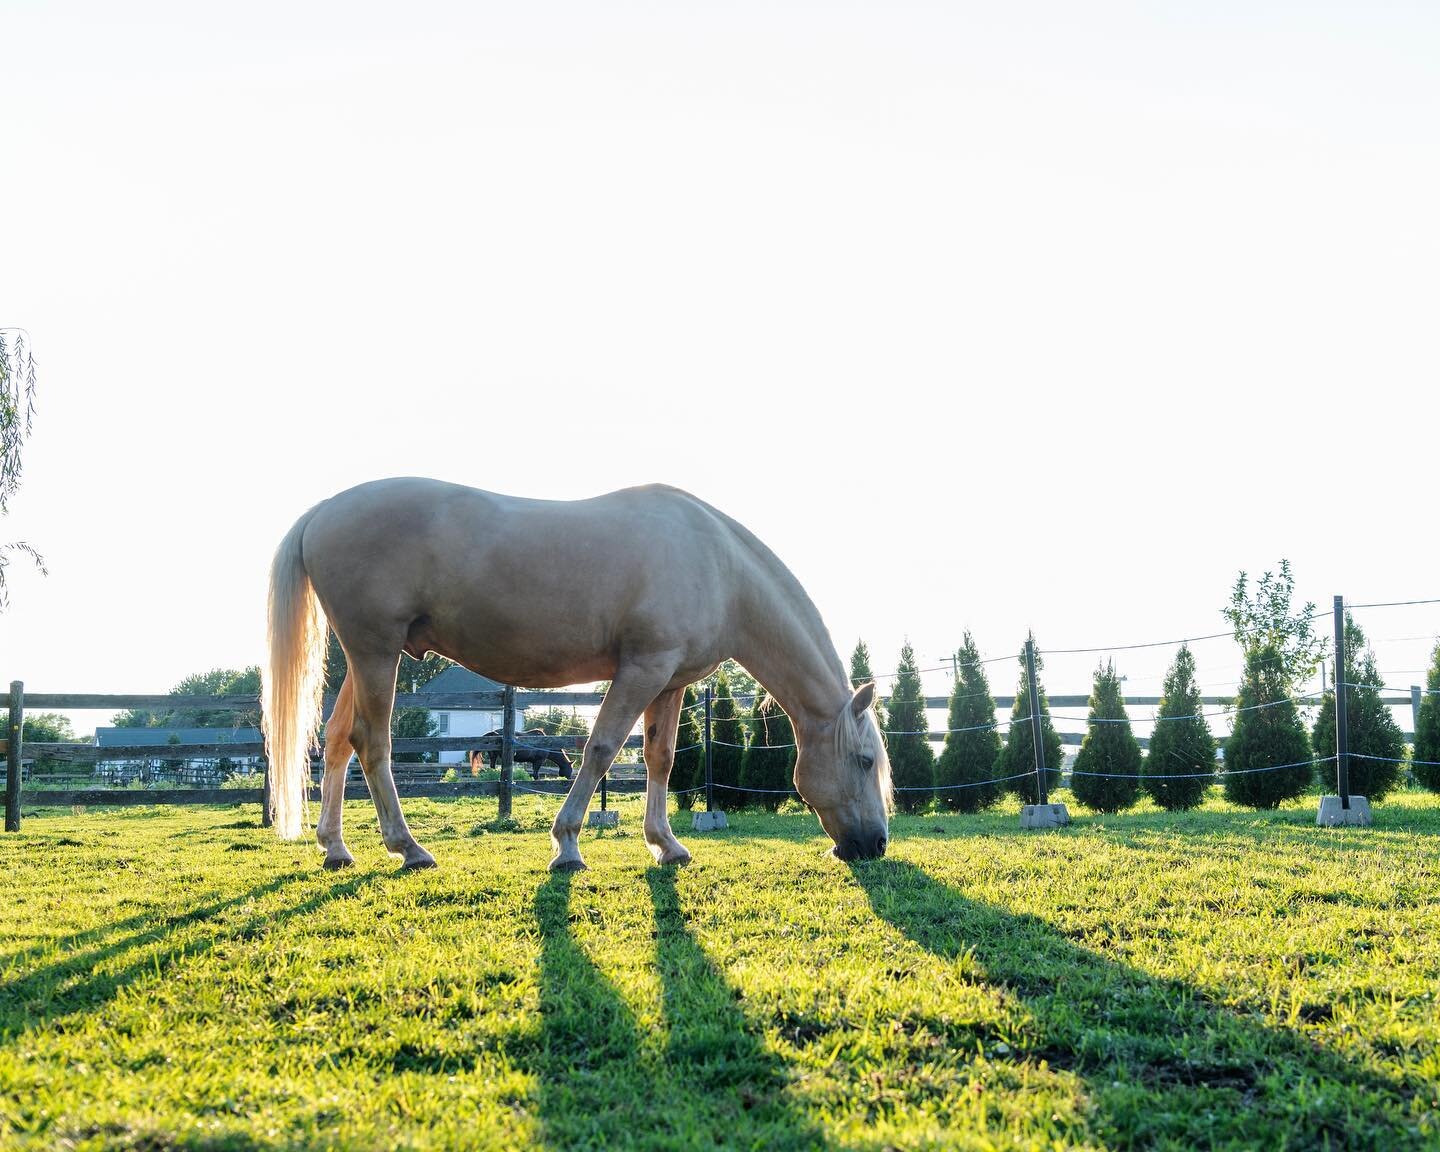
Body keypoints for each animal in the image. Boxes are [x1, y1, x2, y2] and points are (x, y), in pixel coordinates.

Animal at [260, 472, 887, 869]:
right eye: (864, 761)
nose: (876, 844)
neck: (718, 566)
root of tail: (322, 512)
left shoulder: (669, 681)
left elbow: (659, 758)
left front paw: (666, 844)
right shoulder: (640, 669)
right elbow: (602, 749)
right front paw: (566, 846)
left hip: (366, 658)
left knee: (337, 741)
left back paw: (336, 848)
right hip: (375, 653)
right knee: (372, 742)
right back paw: (408, 848)